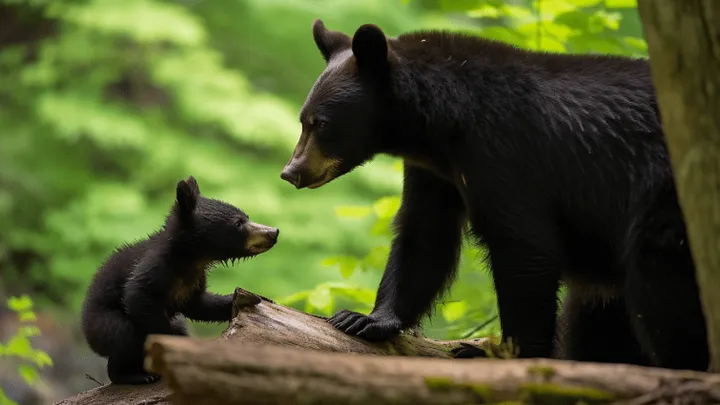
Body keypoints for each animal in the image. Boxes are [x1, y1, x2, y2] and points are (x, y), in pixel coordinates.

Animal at [80, 176, 280, 384]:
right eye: (238, 222)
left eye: (246, 216)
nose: (273, 232)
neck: (190, 259)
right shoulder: (156, 266)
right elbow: (139, 295)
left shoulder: (194, 280)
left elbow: (198, 305)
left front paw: (255, 299)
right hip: (102, 323)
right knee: (123, 334)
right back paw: (134, 375)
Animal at [279, 19, 709, 372]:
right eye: (303, 119)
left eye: (320, 123)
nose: (291, 172)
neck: (445, 126)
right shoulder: (436, 173)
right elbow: (424, 235)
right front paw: (366, 318)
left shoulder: (506, 155)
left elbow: (525, 247)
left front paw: (511, 355)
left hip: (664, 203)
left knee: (660, 291)